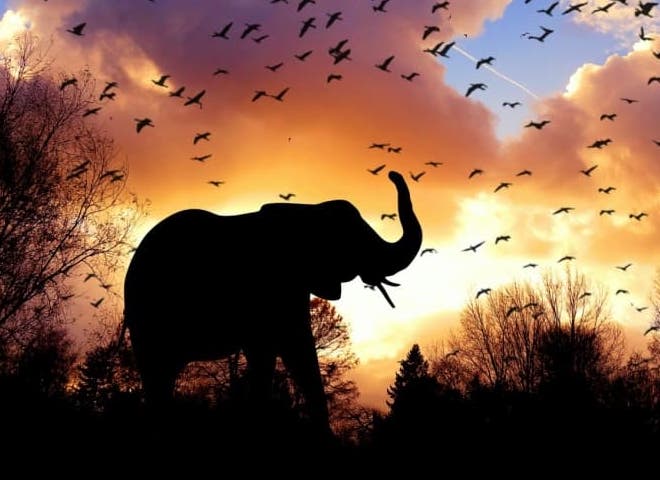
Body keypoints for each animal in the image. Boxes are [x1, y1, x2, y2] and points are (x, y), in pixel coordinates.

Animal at [123, 170, 422, 433]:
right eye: (351, 240)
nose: (392, 174)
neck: (303, 211)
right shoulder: (269, 286)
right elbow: (276, 350)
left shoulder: (292, 287)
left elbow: (296, 350)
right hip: (146, 313)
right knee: (156, 371)